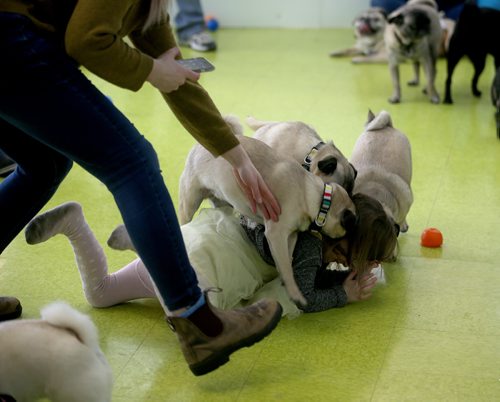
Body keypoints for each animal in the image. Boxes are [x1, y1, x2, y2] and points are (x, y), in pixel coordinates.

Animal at [179, 118, 356, 304]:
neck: (317, 196)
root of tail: (199, 145)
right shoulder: (275, 233)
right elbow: (285, 265)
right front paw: (295, 292)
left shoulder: (289, 235)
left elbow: (286, 259)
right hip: (189, 202)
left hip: (221, 200)